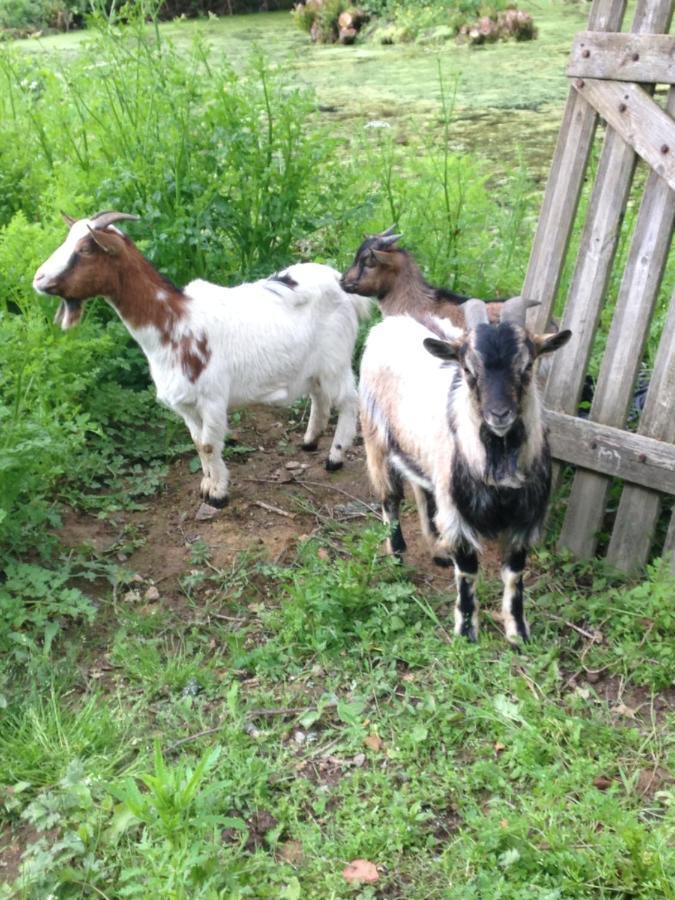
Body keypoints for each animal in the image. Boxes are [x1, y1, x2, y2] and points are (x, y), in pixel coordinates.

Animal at [34, 212, 372, 506]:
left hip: (336, 359)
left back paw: (334, 457)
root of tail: (341, 283)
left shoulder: (211, 398)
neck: (174, 322)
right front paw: (207, 485)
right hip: (313, 365)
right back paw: (310, 440)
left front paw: (219, 495)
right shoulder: (186, 405)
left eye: (85, 249)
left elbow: (209, 444)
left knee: (349, 400)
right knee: (319, 395)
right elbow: (198, 445)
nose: (38, 278)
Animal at [360, 298, 572, 644]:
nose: (499, 414)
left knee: (423, 492)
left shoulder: (525, 518)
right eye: (469, 370)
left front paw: (518, 633)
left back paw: (437, 549)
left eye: (527, 367)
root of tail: (392, 321)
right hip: (375, 438)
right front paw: (466, 633)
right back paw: (397, 557)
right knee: (389, 499)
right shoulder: (459, 517)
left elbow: (514, 574)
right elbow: (468, 572)